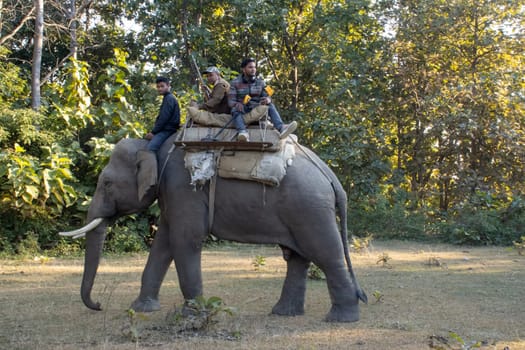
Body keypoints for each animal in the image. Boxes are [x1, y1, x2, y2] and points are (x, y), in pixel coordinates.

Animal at [60, 132, 364, 322]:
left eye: (107, 183)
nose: (98, 305)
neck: (153, 145)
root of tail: (332, 177)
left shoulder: (183, 187)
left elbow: (185, 240)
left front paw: (192, 315)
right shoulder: (173, 194)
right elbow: (163, 244)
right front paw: (142, 308)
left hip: (310, 209)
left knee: (326, 255)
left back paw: (341, 319)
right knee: (298, 258)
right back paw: (283, 313)